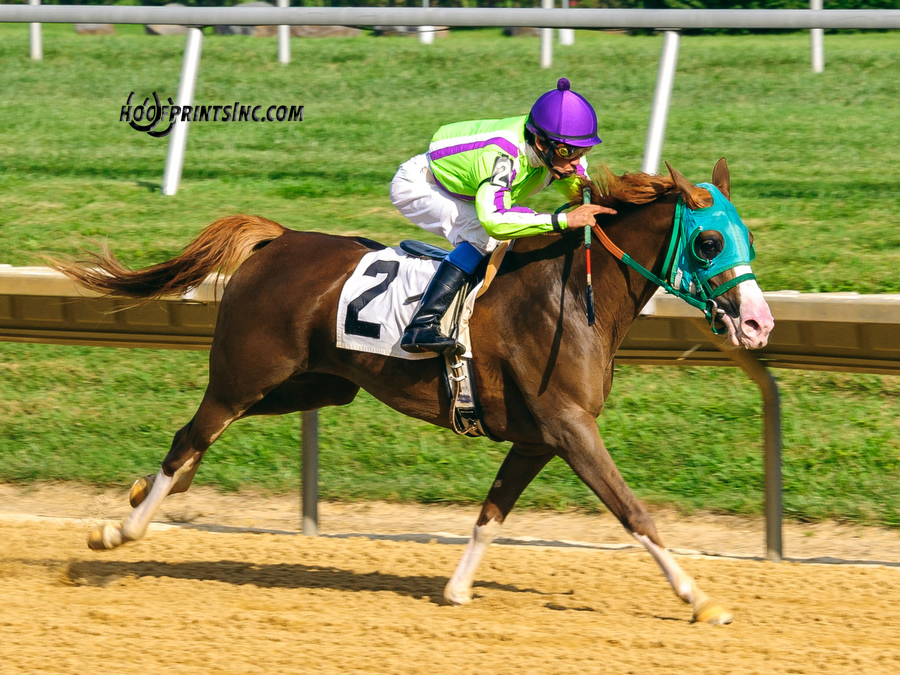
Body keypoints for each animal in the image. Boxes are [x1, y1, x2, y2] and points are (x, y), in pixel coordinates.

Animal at [54, 159, 773, 625]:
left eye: (745, 237)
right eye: (708, 241)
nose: (760, 323)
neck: (571, 297)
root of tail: (277, 239)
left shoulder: (539, 440)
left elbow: (491, 513)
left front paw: (455, 590)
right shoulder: (571, 429)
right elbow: (634, 513)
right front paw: (699, 598)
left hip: (315, 386)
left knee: (197, 441)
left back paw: (139, 493)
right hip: (243, 376)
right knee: (191, 435)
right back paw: (119, 530)